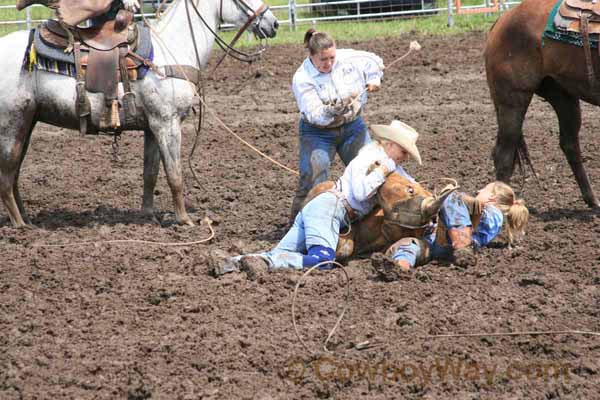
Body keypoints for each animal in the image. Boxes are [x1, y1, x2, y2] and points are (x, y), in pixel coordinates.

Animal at [0, 0, 278, 227]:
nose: (273, 22)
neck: (170, 51)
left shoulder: (152, 128)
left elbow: (150, 174)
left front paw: (149, 215)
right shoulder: (168, 124)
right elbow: (175, 175)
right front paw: (184, 220)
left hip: (28, 122)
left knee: (14, 175)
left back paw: (27, 220)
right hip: (12, 122)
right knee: (6, 175)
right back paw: (21, 227)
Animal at [488, 0, 600, 211]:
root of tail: (502, 20)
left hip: (563, 95)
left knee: (570, 144)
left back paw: (593, 201)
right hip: (512, 99)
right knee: (504, 155)